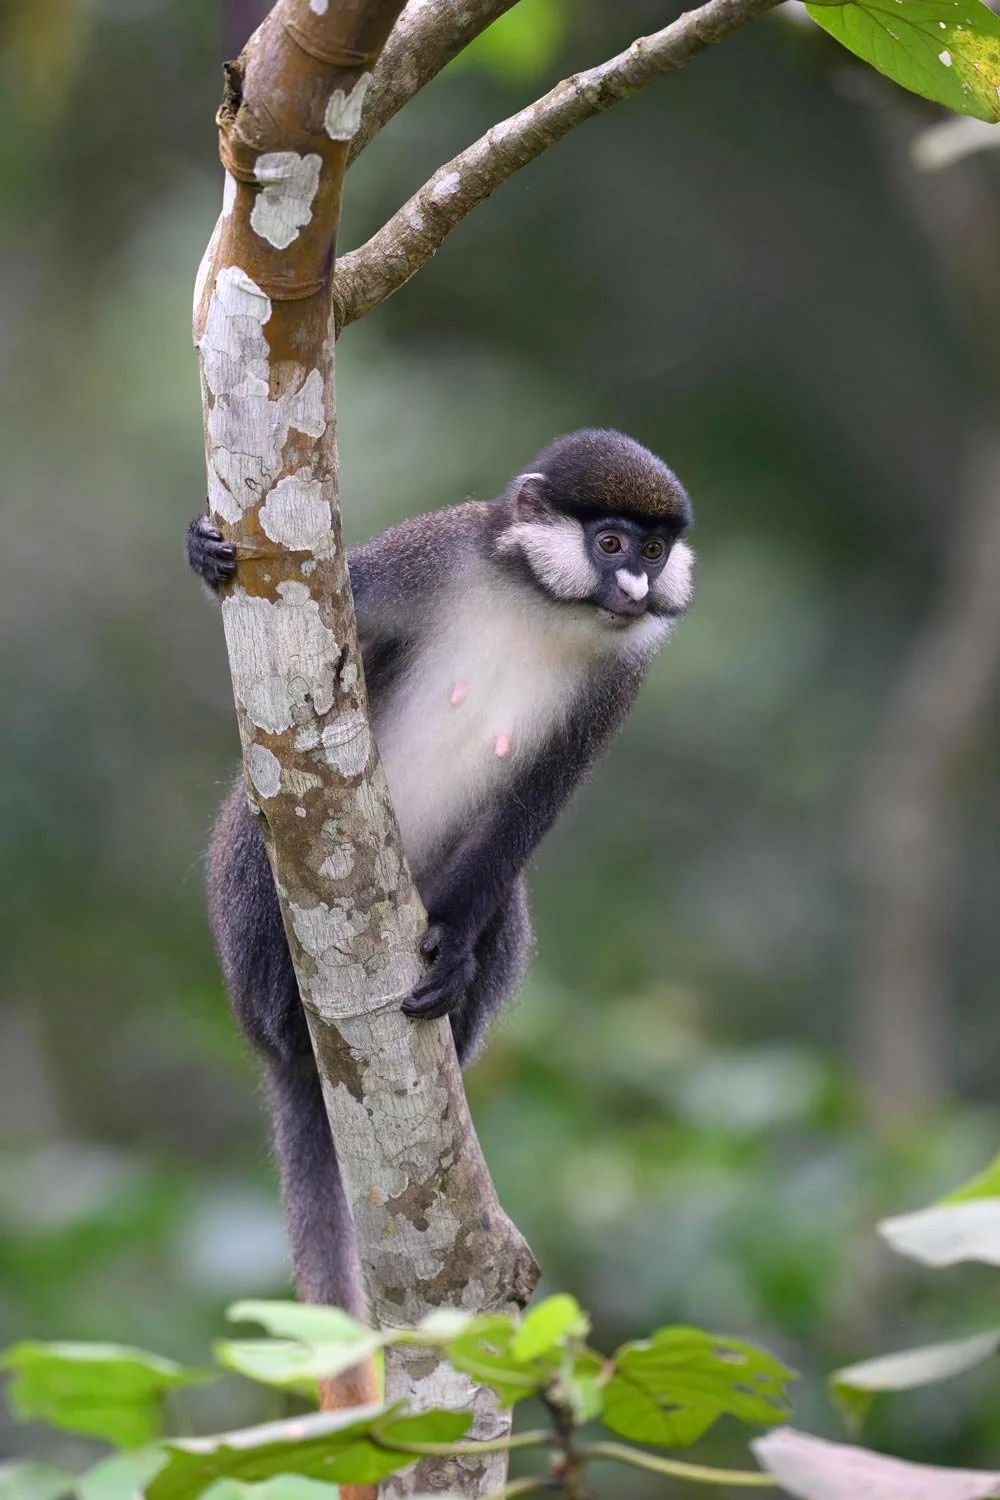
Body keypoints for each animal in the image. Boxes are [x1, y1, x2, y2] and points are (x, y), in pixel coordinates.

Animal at [187, 428, 694, 1348]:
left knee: (510, 902)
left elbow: (532, 806)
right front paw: (206, 555)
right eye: (609, 544)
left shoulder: (621, 679)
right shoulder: (432, 552)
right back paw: (288, 1005)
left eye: (653, 551)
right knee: (261, 820)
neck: (543, 604)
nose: (636, 587)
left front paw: (454, 949)